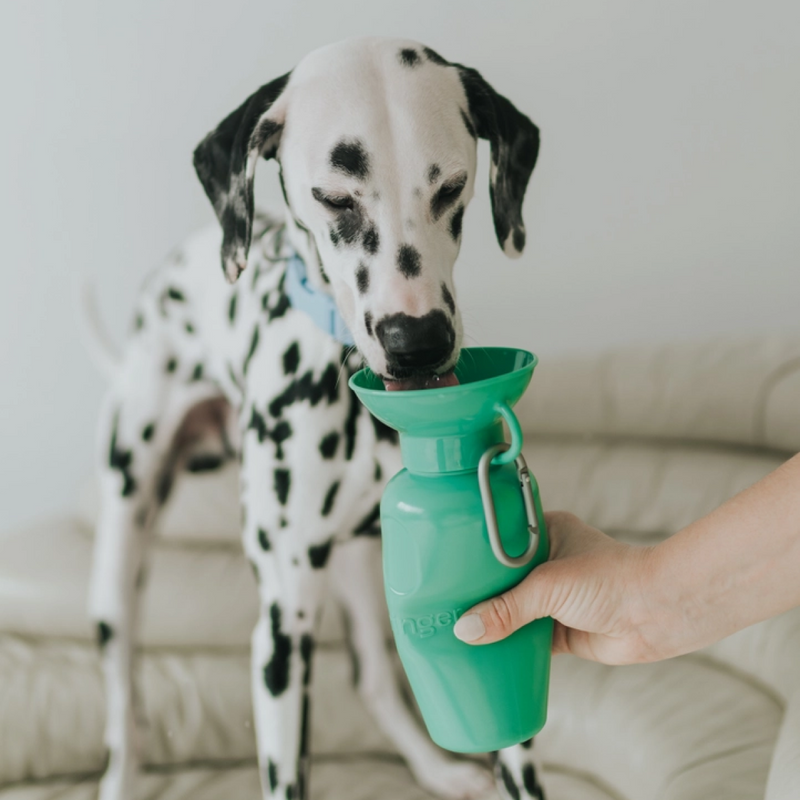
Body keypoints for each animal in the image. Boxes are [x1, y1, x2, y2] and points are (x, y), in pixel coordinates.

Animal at [90, 36, 548, 800]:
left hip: (362, 567)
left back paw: (439, 770)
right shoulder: (283, 629)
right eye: (335, 197)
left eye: (451, 187)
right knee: (124, 711)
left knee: (375, 680)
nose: (416, 343)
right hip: (121, 551)